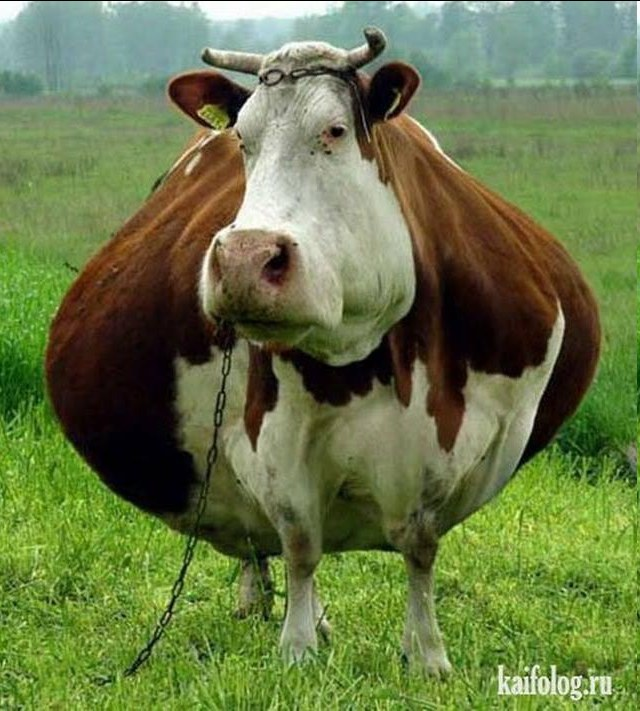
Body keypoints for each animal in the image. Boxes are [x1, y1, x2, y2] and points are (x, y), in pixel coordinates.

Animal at [45, 28, 600, 675]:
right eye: (242, 139)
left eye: (334, 130)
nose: (245, 259)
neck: (371, 357)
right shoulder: (272, 434)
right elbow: (299, 543)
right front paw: (298, 648)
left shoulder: (455, 434)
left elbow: (420, 544)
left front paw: (426, 654)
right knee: (262, 543)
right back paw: (272, 603)